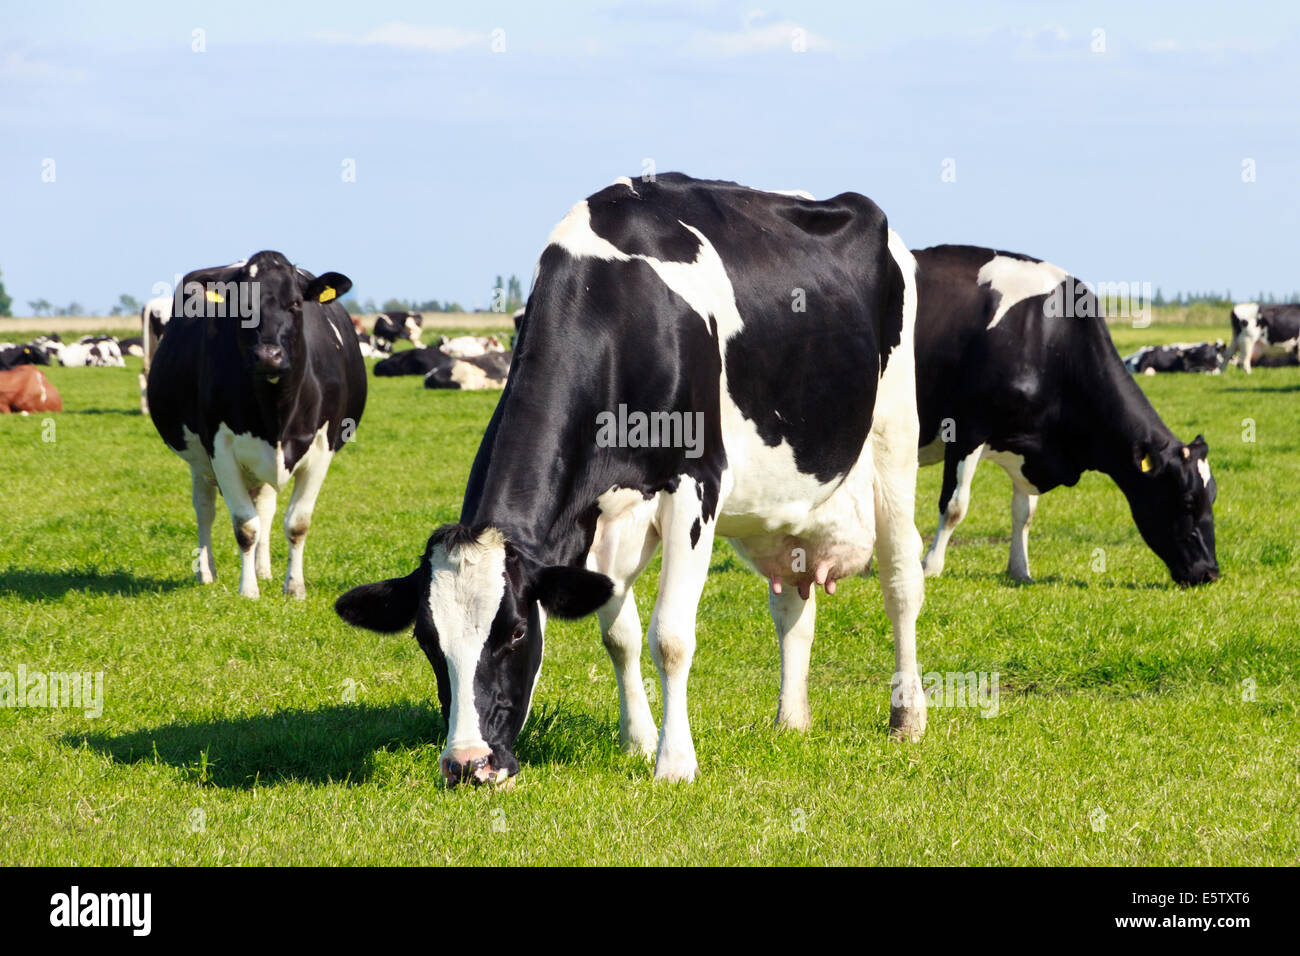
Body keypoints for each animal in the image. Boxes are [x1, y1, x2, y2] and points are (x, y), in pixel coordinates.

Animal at [148, 252, 369, 598]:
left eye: (295, 304)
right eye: (242, 306)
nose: (268, 355)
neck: (276, 409)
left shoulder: (323, 446)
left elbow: (297, 523)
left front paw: (294, 587)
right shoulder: (220, 448)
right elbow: (244, 526)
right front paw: (248, 590)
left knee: (265, 507)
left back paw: (263, 569)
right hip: (199, 460)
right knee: (205, 508)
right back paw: (207, 572)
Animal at [335, 175, 925, 790]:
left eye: (516, 632)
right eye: (426, 640)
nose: (468, 764)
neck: (617, 309)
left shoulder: (696, 482)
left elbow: (670, 635)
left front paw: (674, 763)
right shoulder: (597, 512)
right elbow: (618, 636)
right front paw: (637, 742)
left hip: (895, 431)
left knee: (902, 579)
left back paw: (906, 718)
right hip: (785, 505)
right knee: (792, 605)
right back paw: (791, 720)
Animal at [915, 244, 1216, 590]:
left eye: (1213, 496)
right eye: (1187, 501)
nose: (1210, 572)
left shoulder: (1026, 442)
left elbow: (1024, 512)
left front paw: (1020, 570)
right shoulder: (967, 427)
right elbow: (954, 505)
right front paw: (929, 567)